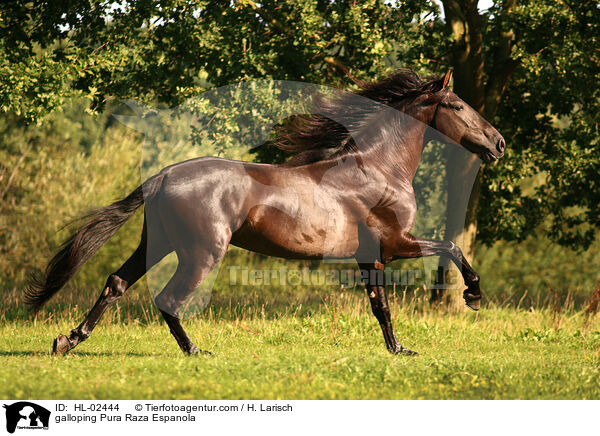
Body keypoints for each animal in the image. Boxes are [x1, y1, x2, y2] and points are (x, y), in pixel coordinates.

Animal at [28, 68, 506, 354]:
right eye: (457, 106)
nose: (499, 144)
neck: (378, 167)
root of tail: (162, 176)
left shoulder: (371, 256)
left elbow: (380, 306)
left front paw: (398, 350)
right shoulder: (396, 242)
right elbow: (450, 248)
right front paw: (473, 295)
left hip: (157, 242)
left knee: (116, 283)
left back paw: (67, 341)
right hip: (202, 253)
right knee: (167, 299)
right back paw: (195, 351)